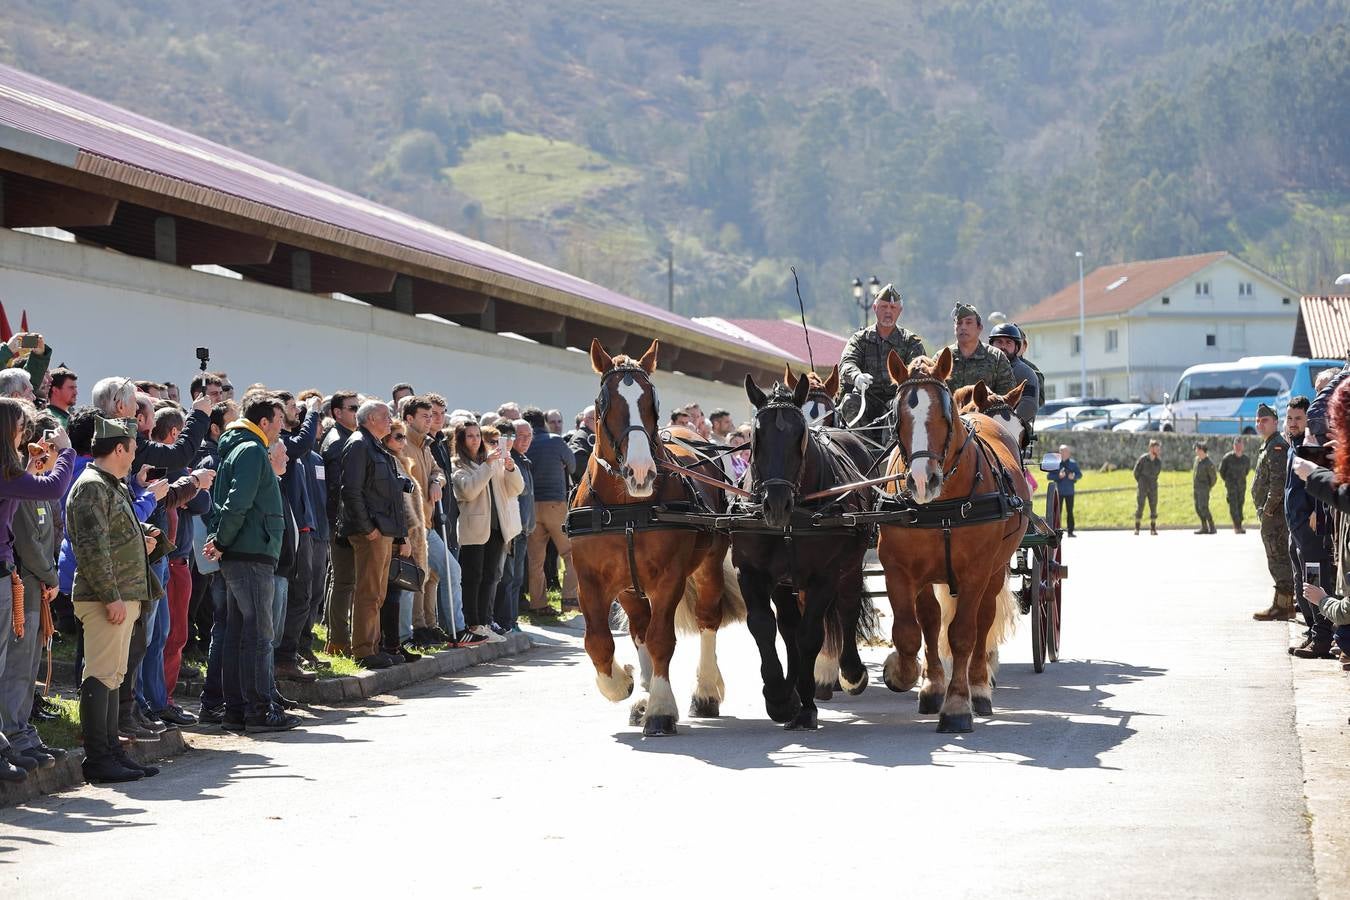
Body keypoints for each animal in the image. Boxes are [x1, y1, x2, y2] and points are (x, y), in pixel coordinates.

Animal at [567, 341, 745, 734]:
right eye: (604, 403)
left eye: (652, 400)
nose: (641, 472)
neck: (625, 508)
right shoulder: (593, 581)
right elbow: (599, 641)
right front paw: (625, 684)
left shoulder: (668, 577)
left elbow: (661, 638)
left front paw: (661, 709)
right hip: (632, 588)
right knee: (639, 628)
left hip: (708, 565)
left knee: (707, 618)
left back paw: (705, 691)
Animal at [739, 375, 874, 734]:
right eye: (756, 436)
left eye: (800, 435)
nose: (775, 504)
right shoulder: (751, 572)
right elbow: (763, 626)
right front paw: (779, 696)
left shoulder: (824, 576)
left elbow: (810, 634)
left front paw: (806, 707)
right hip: (786, 583)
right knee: (787, 626)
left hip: (851, 566)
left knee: (847, 608)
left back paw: (851, 672)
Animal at [869, 345, 1026, 734]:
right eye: (897, 416)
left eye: (944, 414)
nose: (922, 481)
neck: (942, 506)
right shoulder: (900, 569)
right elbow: (911, 630)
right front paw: (908, 675)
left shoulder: (975, 573)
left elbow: (963, 634)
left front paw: (957, 705)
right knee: (931, 620)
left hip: (996, 570)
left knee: (983, 622)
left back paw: (979, 687)